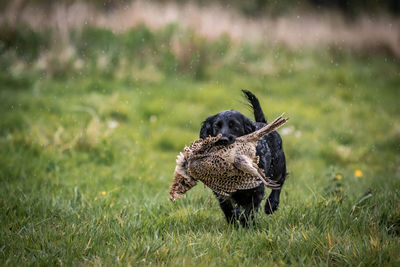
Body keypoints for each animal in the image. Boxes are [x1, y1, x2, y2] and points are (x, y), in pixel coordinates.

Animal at [198, 90, 286, 226]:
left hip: (277, 166)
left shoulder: (256, 189)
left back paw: (271, 204)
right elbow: (228, 209)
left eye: (234, 126)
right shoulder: (221, 192)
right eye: (217, 126)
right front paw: (234, 222)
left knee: (279, 182)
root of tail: (263, 123)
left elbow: (249, 210)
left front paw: (245, 224)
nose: (223, 140)